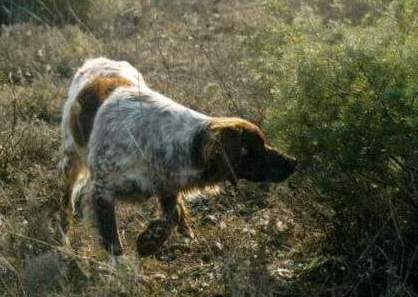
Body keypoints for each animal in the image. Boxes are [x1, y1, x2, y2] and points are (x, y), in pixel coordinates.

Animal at [59, 57, 298, 254]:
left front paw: (150, 240)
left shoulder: (167, 183)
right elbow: (114, 245)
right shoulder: (101, 192)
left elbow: (172, 215)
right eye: (255, 148)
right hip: (70, 162)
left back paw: (186, 231)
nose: (293, 162)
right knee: (66, 203)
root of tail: (96, 60)